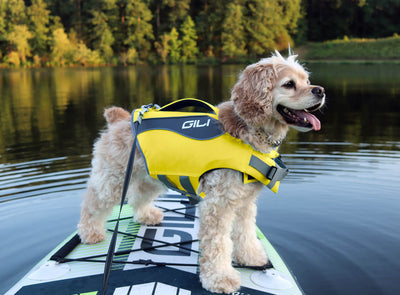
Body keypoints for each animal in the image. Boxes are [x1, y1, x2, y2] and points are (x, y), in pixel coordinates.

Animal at [77, 52, 324, 294]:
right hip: (113, 179)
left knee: (138, 196)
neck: (249, 134)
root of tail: (120, 119)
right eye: (289, 84)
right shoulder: (218, 205)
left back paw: (146, 215)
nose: (320, 90)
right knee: (92, 202)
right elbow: (218, 244)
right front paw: (220, 278)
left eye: (307, 81)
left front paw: (250, 257)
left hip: (151, 177)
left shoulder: (244, 202)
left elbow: (245, 233)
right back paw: (90, 233)